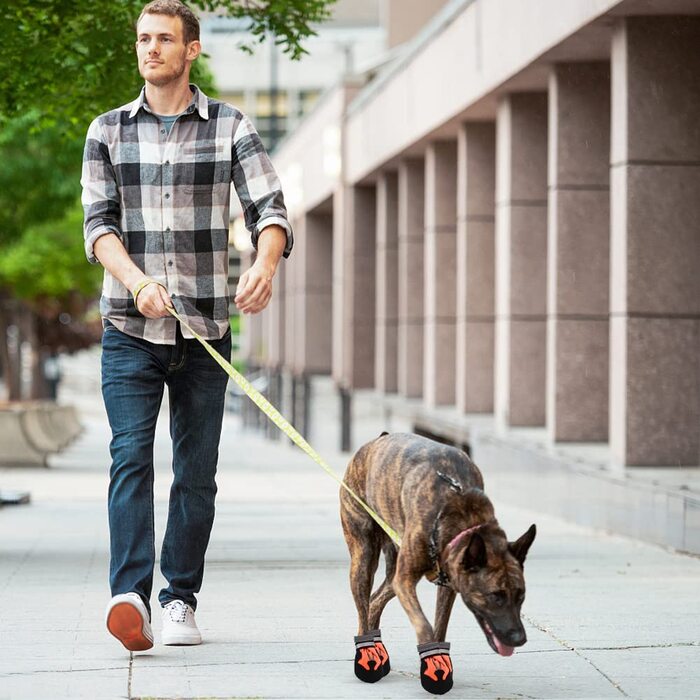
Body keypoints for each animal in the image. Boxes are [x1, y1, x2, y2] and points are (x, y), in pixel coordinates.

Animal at [340, 432, 536, 696]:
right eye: (495, 596)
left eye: (521, 596)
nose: (519, 639)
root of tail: (377, 440)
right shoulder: (406, 580)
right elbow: (424, 625)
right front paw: (431, 661)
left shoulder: (448, 583)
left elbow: (440, 625)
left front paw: (438, 659)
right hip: (364, 556)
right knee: (363, 606)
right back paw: (367, 652)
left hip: (393, 573)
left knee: (374, 601)